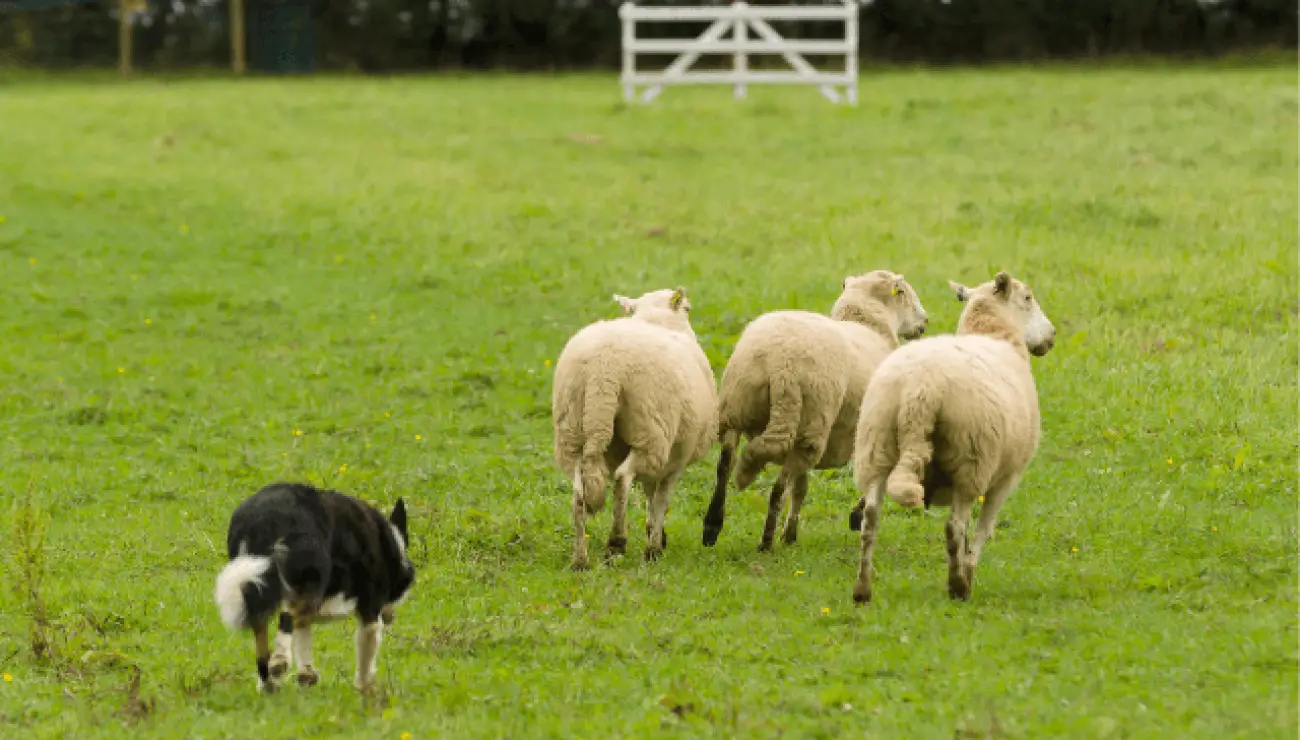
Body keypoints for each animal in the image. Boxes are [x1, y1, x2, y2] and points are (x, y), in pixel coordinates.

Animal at [214, 481, 416, 691]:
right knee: (287, 616)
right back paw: (279, 662)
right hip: (309, 578)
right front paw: (365, 687)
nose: (391, 616)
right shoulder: (370, 607)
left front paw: (306, 675)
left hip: (252, 577)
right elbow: (367, 650)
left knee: (261, 626)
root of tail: (264, 519)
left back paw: (268, 681)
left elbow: (303, 637)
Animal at [546, 286, 717, 569]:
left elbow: (651, 497)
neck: (656, 320)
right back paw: (616, 542)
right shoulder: (675, 459)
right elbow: (661, 501)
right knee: (622, 478)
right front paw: (654, 548)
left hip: (571, 431)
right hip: (650, 429)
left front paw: (655, 537)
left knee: (579, 495)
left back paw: (580, 560)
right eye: (688, 309)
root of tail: (604, 367)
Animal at [696, 269, 930, 548]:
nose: (924, 322)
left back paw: (712, 525)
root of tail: (781, 364)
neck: (869, 325)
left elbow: (801, 487)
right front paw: (856, 515)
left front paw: (791, 534)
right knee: (778, 489)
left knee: (725, 463)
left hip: (741, 406)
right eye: (904, 292)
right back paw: (766, 542)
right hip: (811, 424)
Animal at [852, 267, 1055, 603]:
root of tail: (921, 387)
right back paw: (958, 585)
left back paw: (862, 591)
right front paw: (969, 572)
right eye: (1028, 298)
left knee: (870, 520)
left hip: (876, 445)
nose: (1051, 336)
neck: (994, 334)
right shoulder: (1006, 476)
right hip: (970, 458)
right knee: (955, 526)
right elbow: (983, 528)